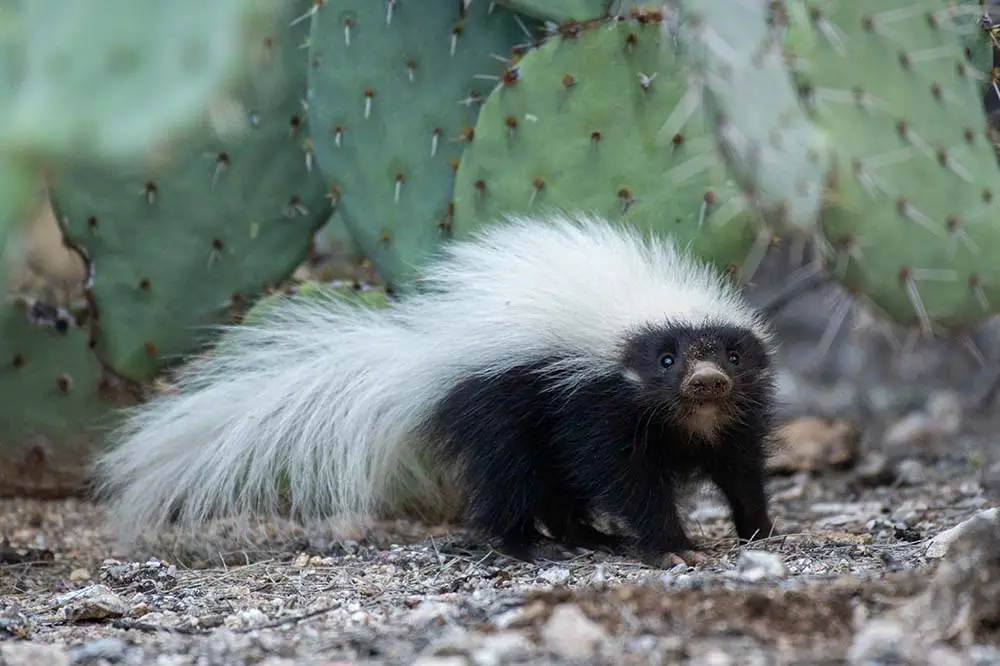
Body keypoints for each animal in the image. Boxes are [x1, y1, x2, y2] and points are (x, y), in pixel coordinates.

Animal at [92, 210, 780, 564]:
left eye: (731, 353)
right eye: (666, 359)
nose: (707, 380)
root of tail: (420, 353)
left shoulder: (733, 415)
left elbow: (740, 464)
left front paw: (757, 527)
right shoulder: (597, 398)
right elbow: (624, 475)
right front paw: (671, 548)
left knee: (552, 482)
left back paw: (586, 536)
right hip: (497, 403)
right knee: (513, 476)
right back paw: (530, 546)